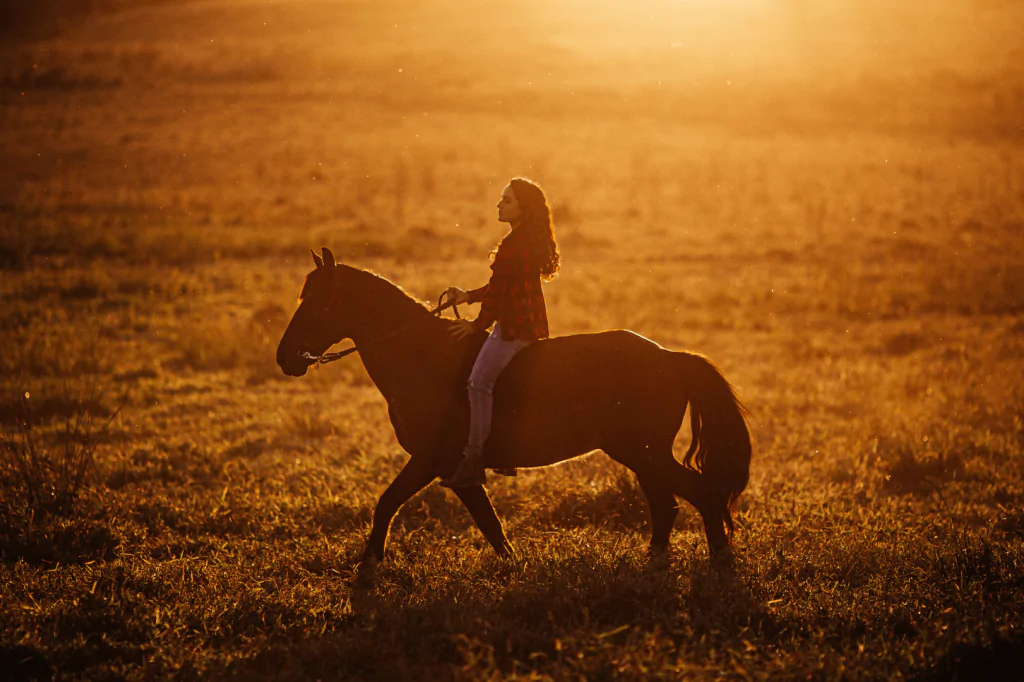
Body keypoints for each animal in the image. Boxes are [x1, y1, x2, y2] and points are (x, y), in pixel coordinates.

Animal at [276, 246, 749, 561]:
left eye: (318, 303)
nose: (285, 358)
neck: (421, 356)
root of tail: (669, 357)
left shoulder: (433, 460)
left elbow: (390, 503)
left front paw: (369, 565)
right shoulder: (453, 470)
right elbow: (489, 526)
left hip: (644, 452)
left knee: (698, 494)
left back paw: (719, 565)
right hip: (644, 455)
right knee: (667, 504)